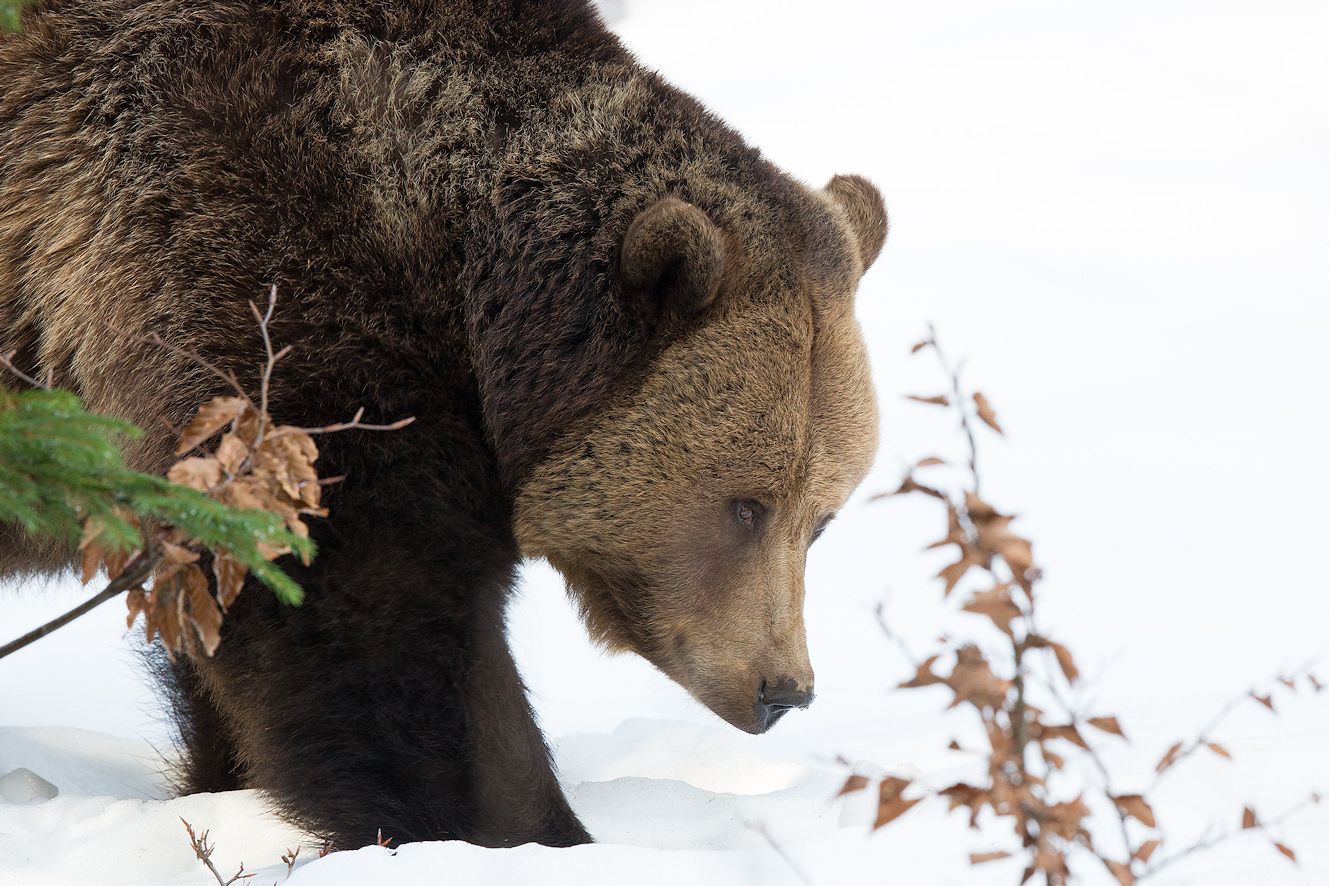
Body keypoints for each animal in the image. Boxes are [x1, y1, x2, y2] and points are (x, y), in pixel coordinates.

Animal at [2, 0, 893, 844]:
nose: (783, 689)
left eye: (821, 519)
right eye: (745, 507)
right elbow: (362, 597)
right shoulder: (240, 256)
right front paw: (517, 823)